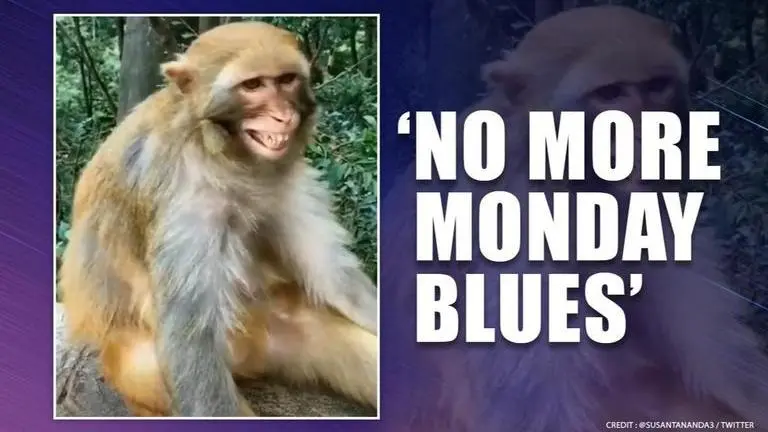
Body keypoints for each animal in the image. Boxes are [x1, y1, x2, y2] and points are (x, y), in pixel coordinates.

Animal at [57, 21, 378, 418]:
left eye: (286, 79)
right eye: (253, 85)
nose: (283, 116)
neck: (225, 155)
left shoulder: (283, 181)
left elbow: (336, 280)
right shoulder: (185, 198)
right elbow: (190, 338)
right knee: (150, 363)